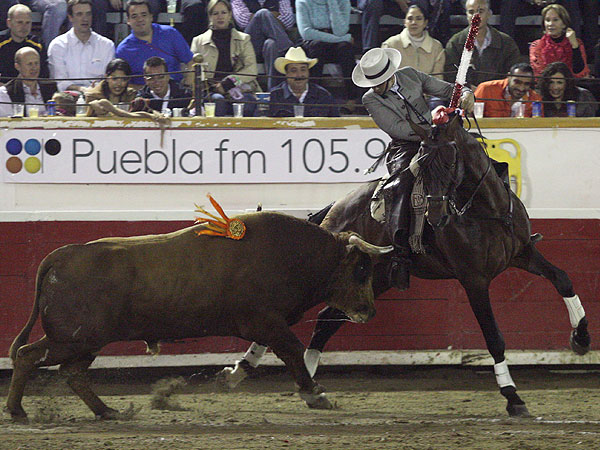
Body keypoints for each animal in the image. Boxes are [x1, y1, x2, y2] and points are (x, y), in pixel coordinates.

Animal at [7, 212, 396, 422]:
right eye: (362, 269)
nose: (370, 310)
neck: (298, 255)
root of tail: (60, 256)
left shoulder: (266, 323)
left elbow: (276, 351)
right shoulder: (265, 321)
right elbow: (292, 350)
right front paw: (315, 394)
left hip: (86, 341)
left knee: (72, 374)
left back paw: (108, 412)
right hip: (73, 338)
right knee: (28, 357)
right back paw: (17, 411)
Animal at [218, 114, 588, 416]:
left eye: (450, 161)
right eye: (421, 165)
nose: (438, 216)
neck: (487, 210)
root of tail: (335, 209)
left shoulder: (523, 253)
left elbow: (563, 279)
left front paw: (581, 338)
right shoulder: (474, 280)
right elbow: (493, 337)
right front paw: (513, 397)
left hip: (376, 279)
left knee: (324, 320)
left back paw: (299, 381)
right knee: (292, 315)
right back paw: (244, 372)